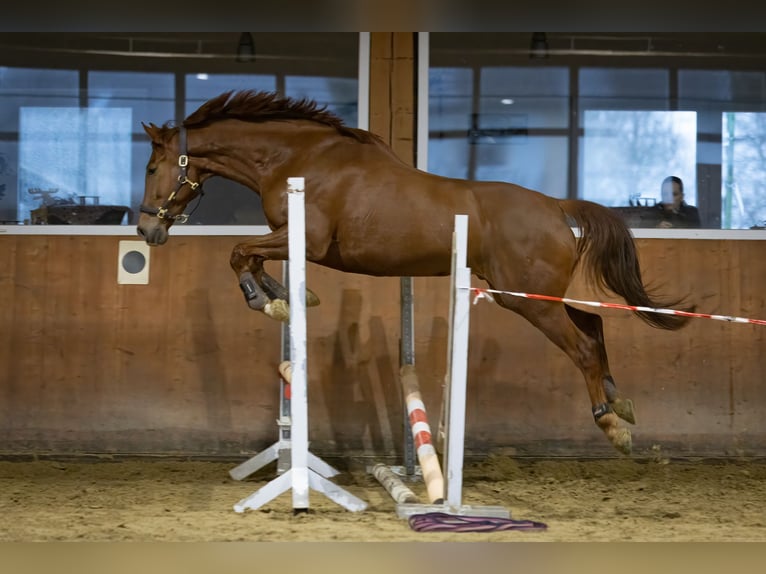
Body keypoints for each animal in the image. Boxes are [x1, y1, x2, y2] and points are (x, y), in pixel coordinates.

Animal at [138, 90, 696, 456]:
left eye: (151, 168)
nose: (147, 229)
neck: (298, 157)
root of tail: (557, 207)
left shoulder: (307, 239)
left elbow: (238, 252)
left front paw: (264, 299)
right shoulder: (290, 238)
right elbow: (251, 256)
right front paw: (282, 297)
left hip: (524, 298)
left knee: (582, 344)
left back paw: (612, 426)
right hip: (531, 297)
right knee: (594, 325)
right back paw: (620, 402)